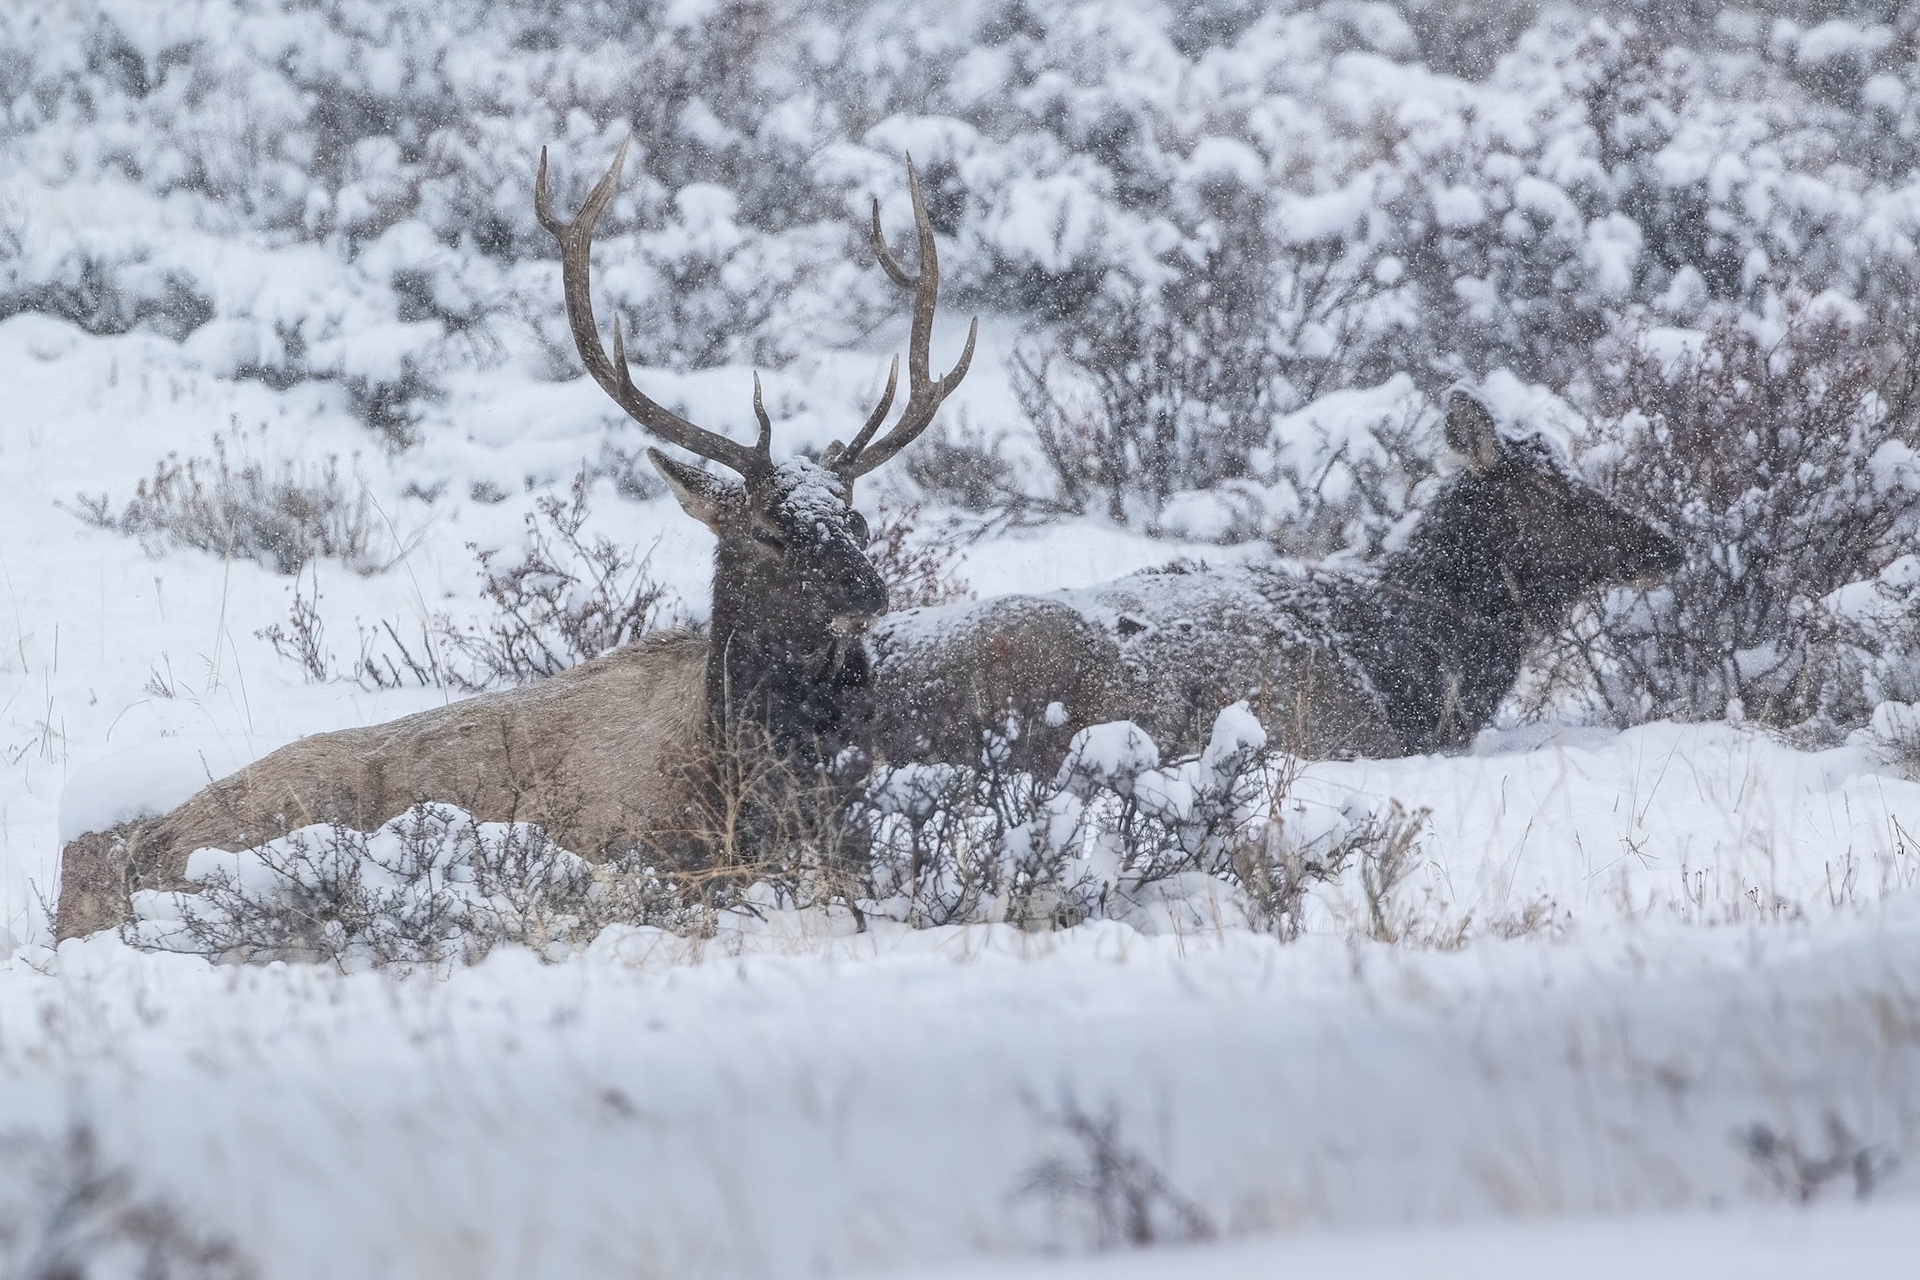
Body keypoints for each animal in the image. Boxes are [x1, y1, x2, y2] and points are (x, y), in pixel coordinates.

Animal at [54, 141, 975, 941]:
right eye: (771, 531)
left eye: (857, 520)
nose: (870, 593)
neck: (739, 773)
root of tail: (144, 845)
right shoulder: (629, 845)